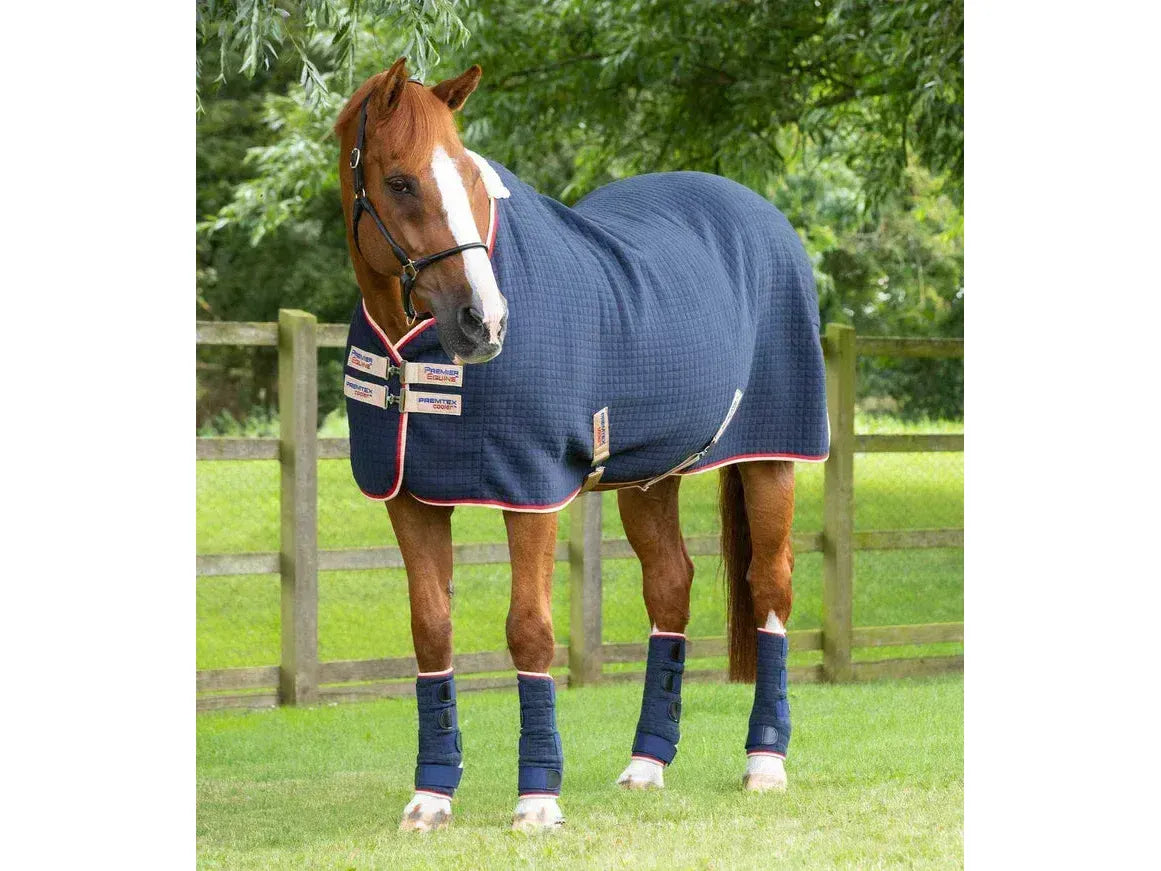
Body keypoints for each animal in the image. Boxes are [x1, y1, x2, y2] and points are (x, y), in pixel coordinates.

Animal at [333, 58, 828, 832]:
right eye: (401, 181)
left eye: (472, 178)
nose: (484, 321)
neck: (413, 351)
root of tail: (760, 212)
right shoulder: (409, 496)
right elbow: (431, 629)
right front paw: (431, 796)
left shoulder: (529, 490)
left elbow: (530, 629)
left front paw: (537, 798)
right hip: (650, 477)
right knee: (670, 587)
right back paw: (646, 764)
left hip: (773, 459)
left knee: (770, 587)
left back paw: (765, 762)